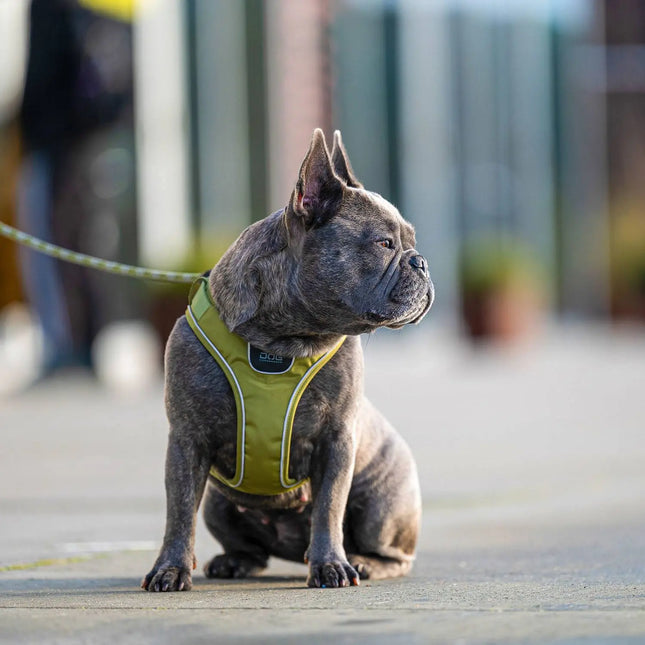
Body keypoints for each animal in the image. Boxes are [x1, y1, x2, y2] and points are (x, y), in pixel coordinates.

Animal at [141, 127, 432, 588]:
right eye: (385, 244)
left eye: (410, 243)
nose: (420, 261)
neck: (283, 340)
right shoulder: (187, 440)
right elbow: (179, 512)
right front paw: (169, 569)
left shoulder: (336, 441)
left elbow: (328, 506)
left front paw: (331, 565)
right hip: (219, 505)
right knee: (251, 548)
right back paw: (235, 561)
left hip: (381, 505)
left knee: (391, 552)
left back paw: (363, 563)